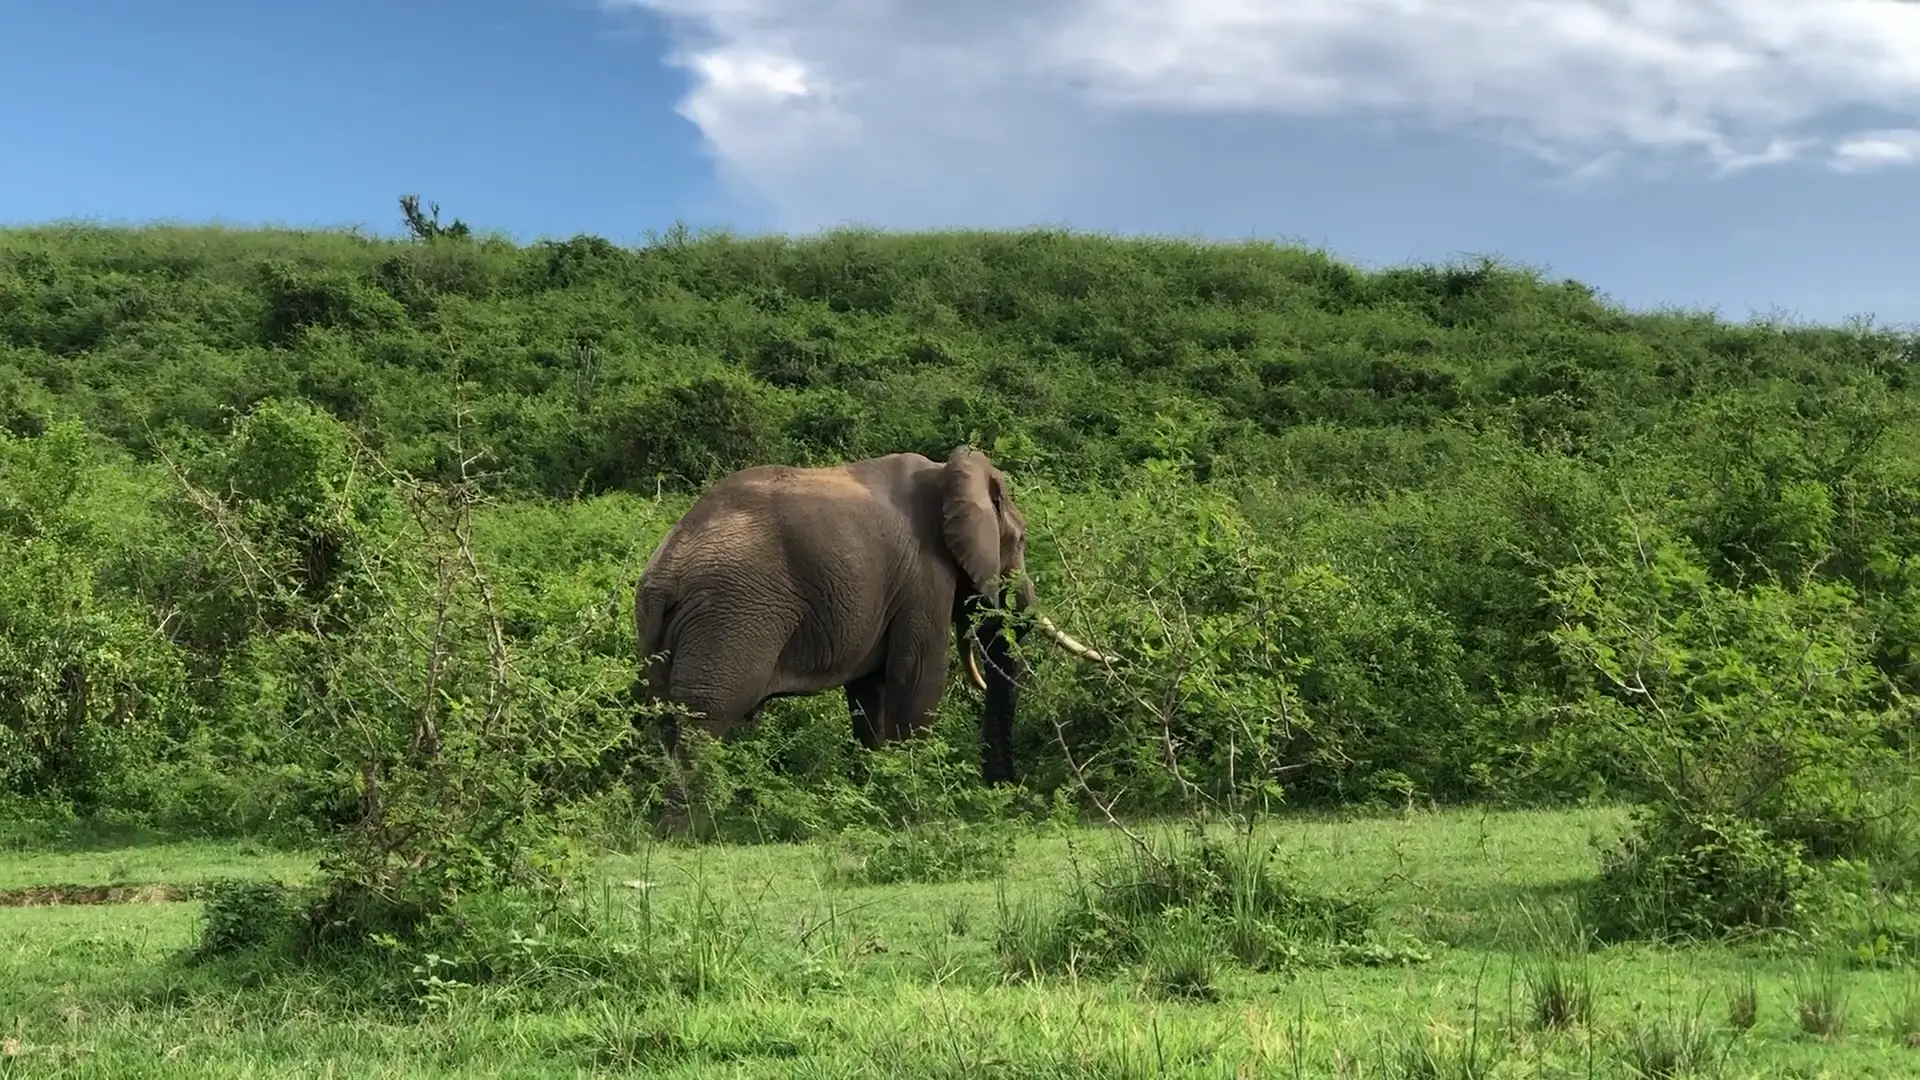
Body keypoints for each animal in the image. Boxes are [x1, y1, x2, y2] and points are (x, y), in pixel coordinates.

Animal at [632, 445, 1108, 785]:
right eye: (1022, 540)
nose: (1006, 789)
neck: (947, 471)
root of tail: (667, 570)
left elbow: (869, 693)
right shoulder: (923, 576)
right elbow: (917, 679)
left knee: (661, 718)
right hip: (730, 616)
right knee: (703, 719)